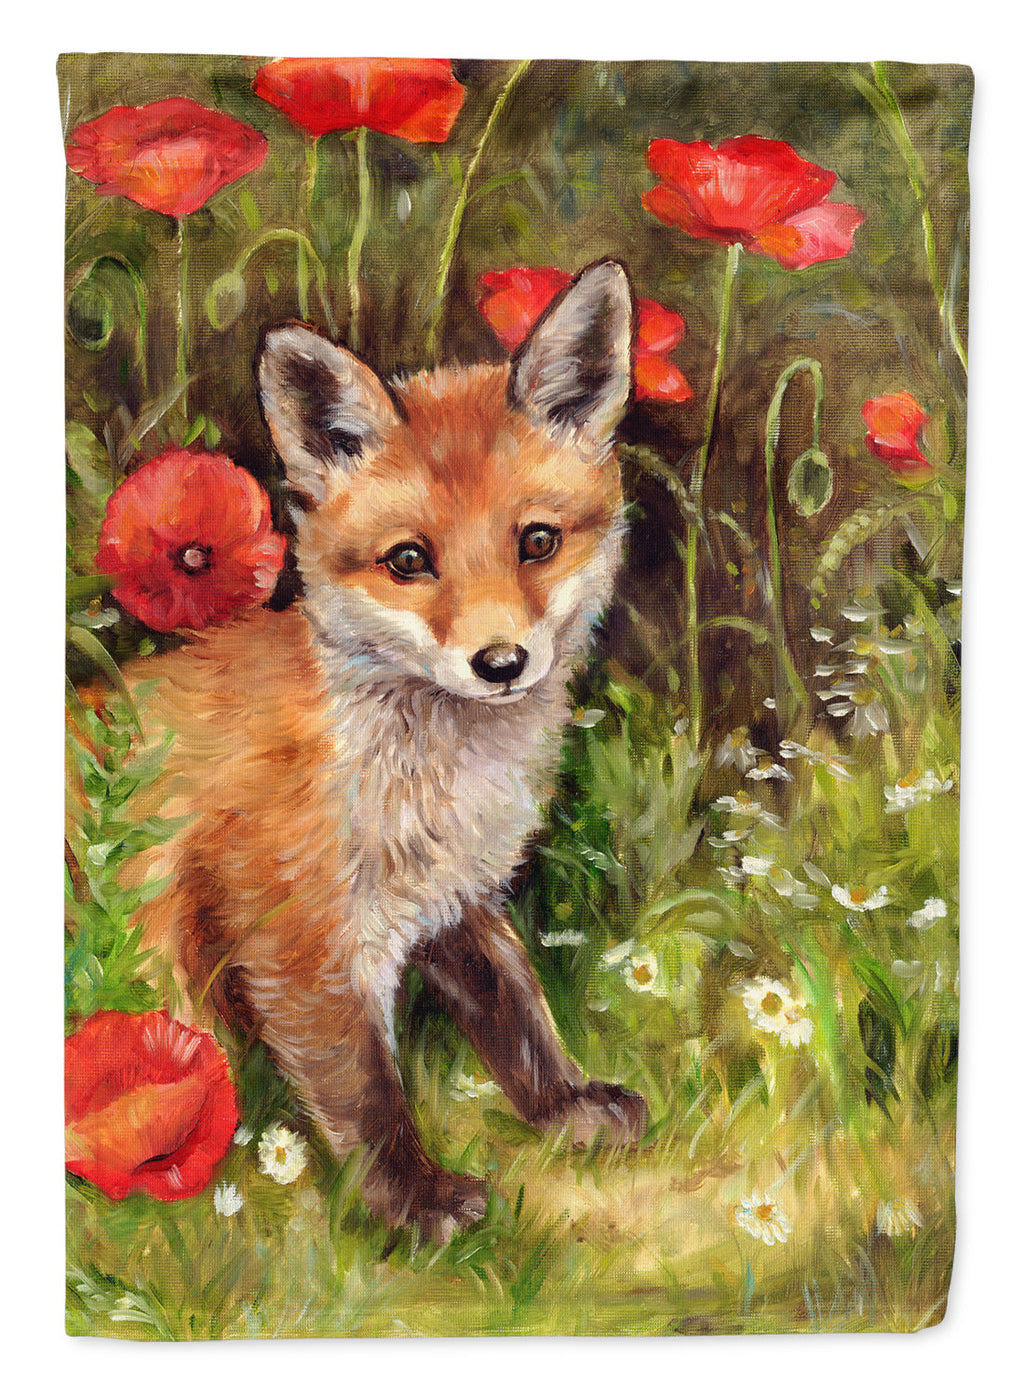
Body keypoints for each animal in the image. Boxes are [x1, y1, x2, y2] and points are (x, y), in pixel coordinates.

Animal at [126, 259, 648, 1241]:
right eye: (409, 560)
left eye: (538, 541)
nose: (501, 662)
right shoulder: (297, 941)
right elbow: (366, 1093)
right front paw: (414, 1203)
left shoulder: (456, 899)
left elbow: (516, 1012)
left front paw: (564, 1105)